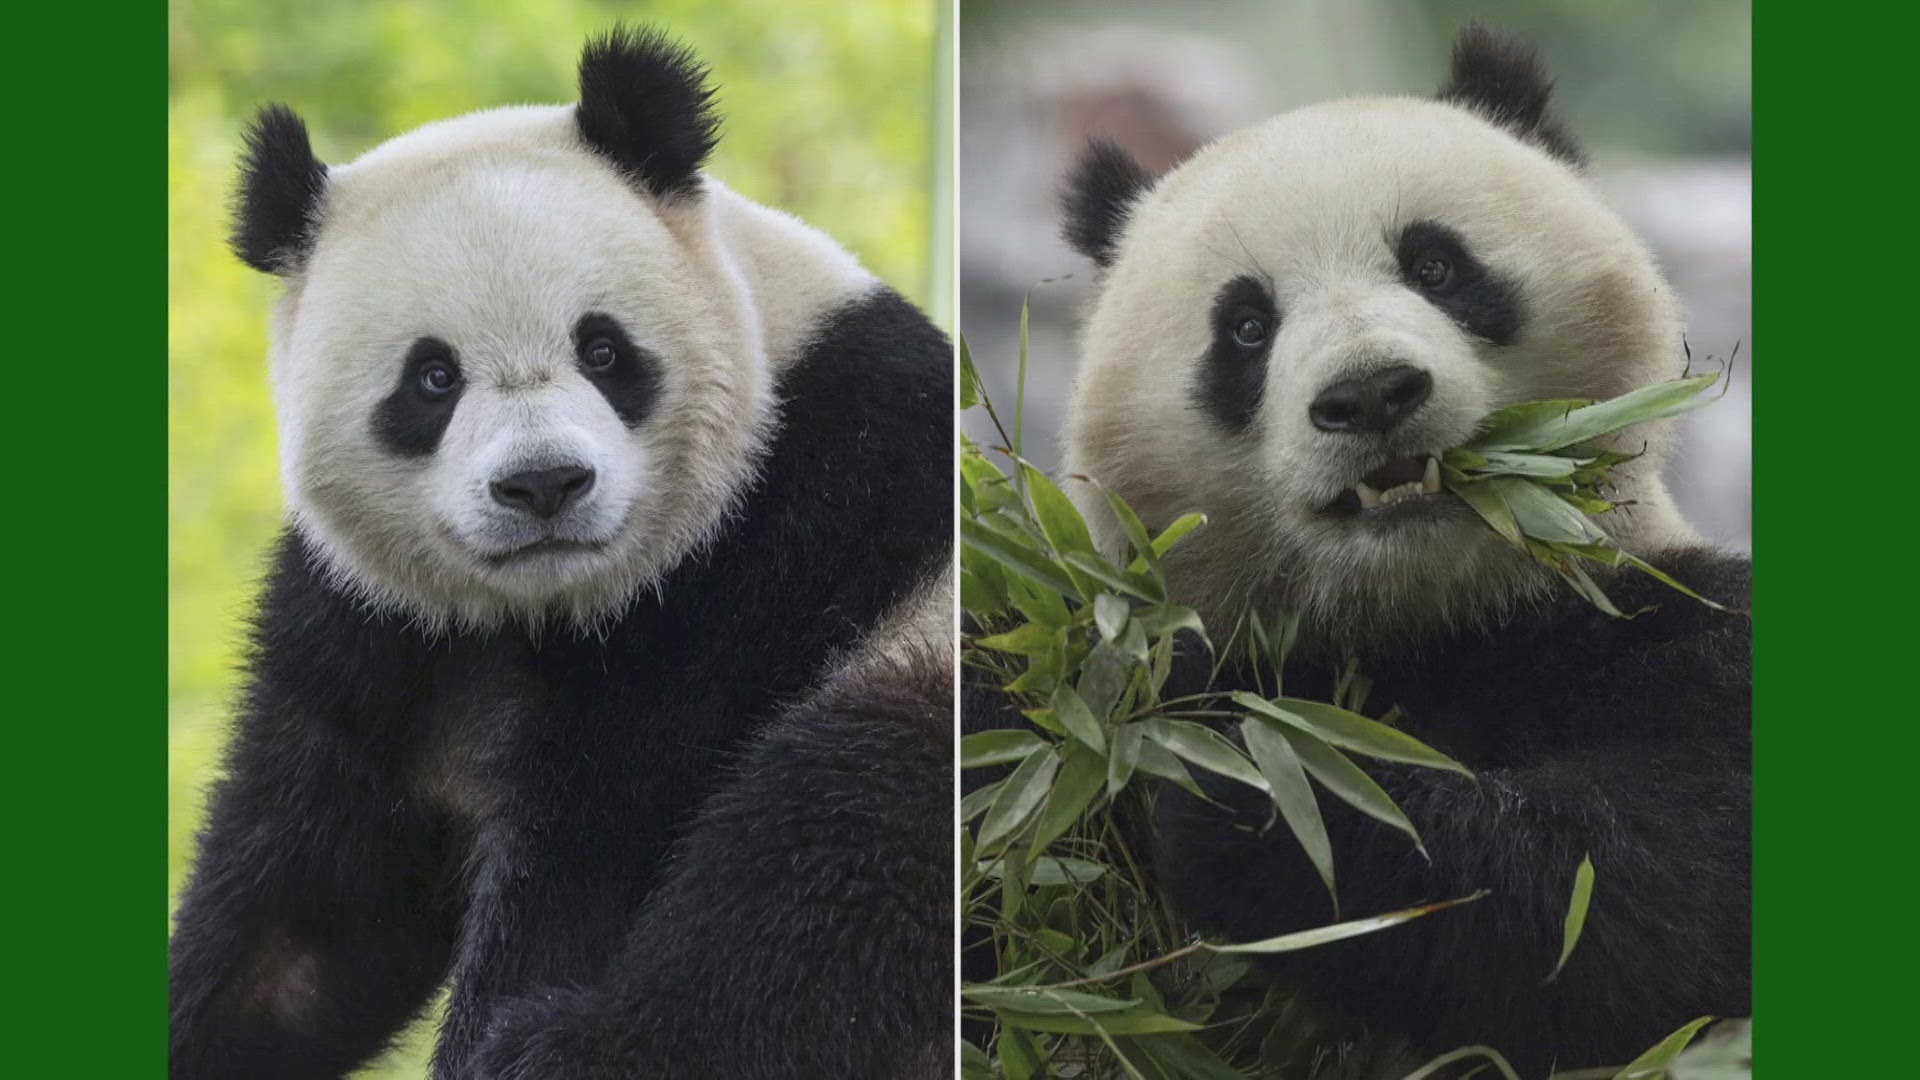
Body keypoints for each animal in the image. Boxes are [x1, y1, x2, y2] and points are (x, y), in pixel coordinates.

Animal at [165, 27, 952, 1076]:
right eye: (433, 377)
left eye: (604, 350)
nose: (544, 485)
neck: (542, 607)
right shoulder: (376, 626)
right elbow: (305, 919)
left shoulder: (777, 546)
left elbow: (595, 847)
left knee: (832, 858)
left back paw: (577, 1045)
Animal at [1052, 25, 1758, 1076]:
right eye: (1246, 326)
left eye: (1435, 266)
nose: (1372, 393)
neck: (1426, 611)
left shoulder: (1676, 630)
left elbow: (1651, 881)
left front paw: (1259, 788)